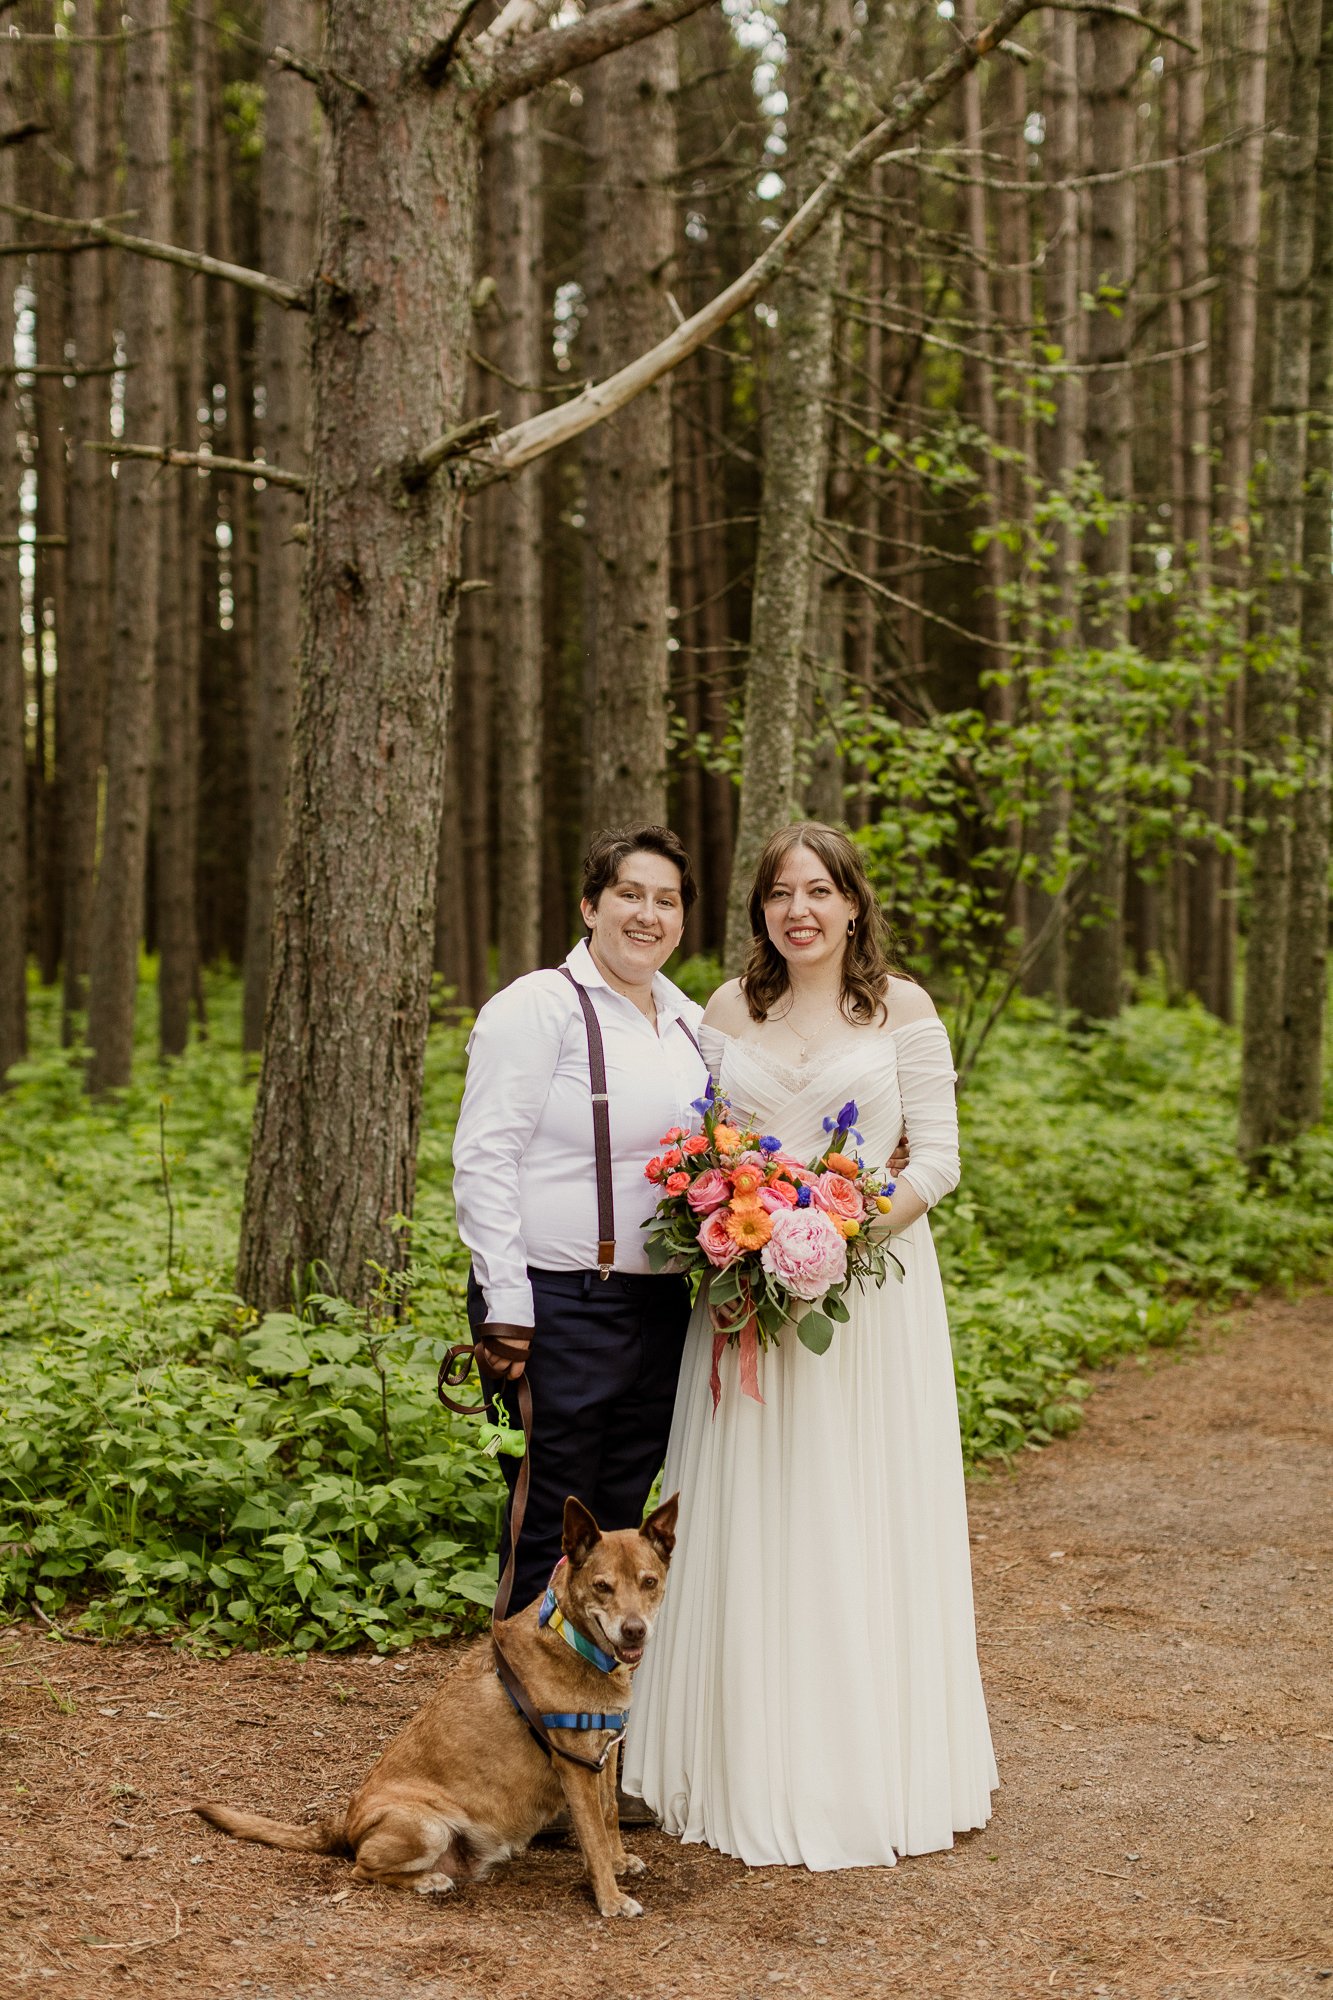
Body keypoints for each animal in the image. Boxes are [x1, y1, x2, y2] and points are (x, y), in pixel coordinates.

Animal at [195, 1496, 676, 1912]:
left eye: (649, 1582)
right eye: (602, 1587)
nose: (635, 1630)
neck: (573, 1639)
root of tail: (345, 1823)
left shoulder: (604, 1753)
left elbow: (608, 1815)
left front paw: (618, 1862)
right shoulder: (575, 1766)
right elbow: (592, 1835)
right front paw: (610, 1899)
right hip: (424, 1827)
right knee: (360, 1869)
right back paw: (428, 1880)